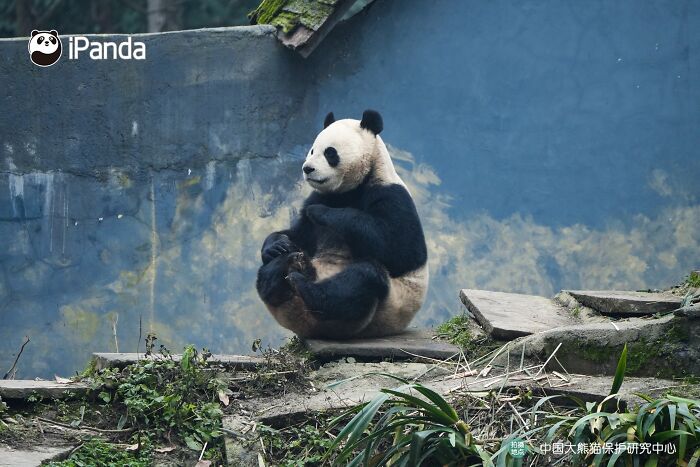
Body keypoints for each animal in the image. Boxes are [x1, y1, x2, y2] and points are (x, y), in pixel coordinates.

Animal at [256, 110, 429, 339]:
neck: (349, 190)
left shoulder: (391, 194)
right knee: (268, 270)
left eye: (330, 153)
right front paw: (276, 245)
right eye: (312, 150)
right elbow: (298, 234)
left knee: (363, 278)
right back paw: (283, 268)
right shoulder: (319, 196)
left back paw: (306, 288)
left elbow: (402, 250)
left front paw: (319, 212)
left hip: (385, 305)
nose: (307, 168)